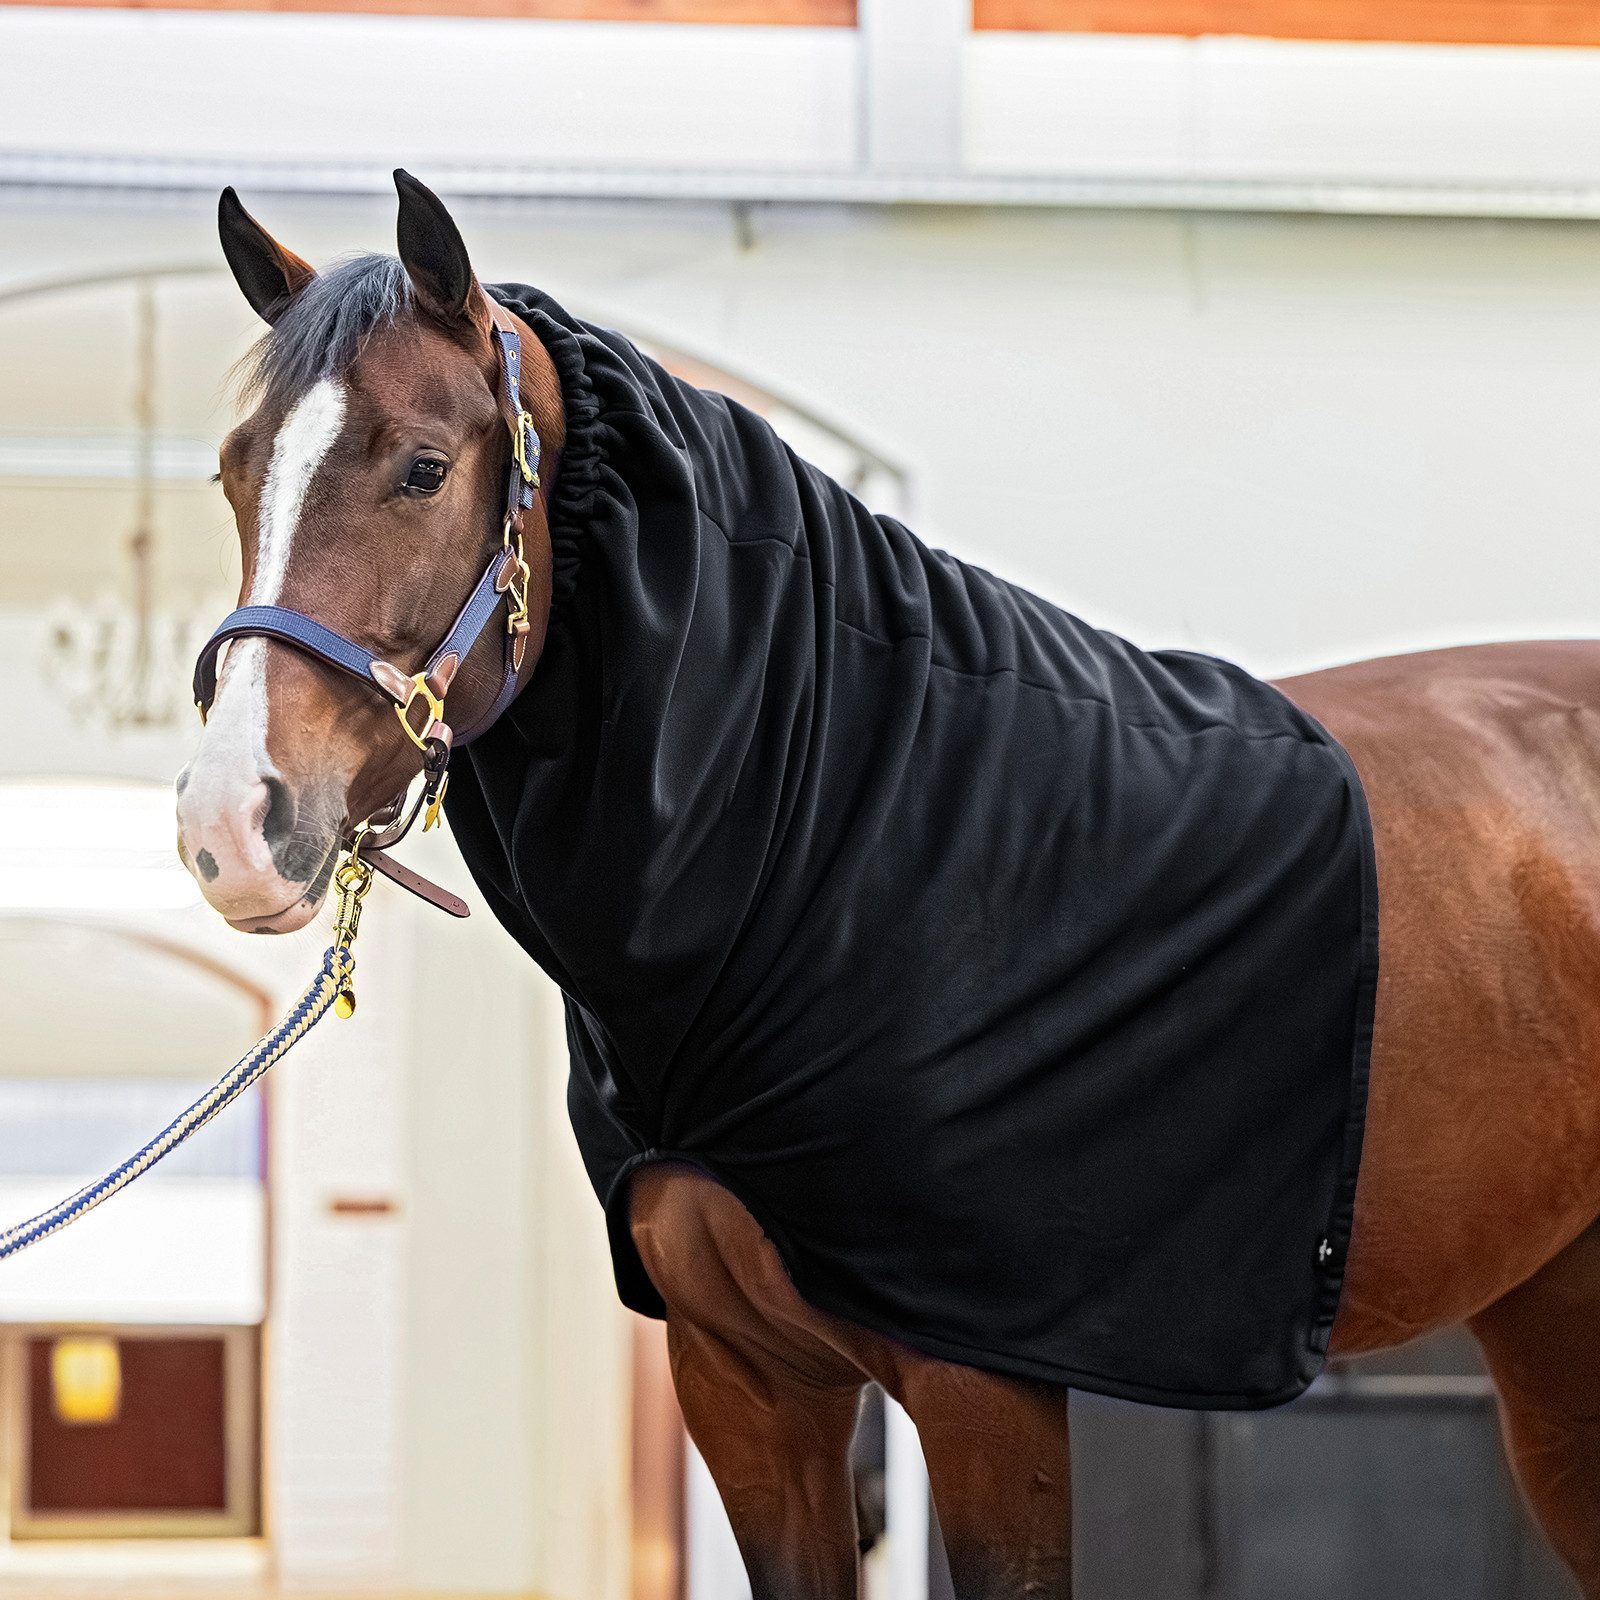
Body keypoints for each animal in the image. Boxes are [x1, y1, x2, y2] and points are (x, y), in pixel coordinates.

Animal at [176, 173, 1600, 1598]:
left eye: (421, 467)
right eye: (234, 473)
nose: (228, 822)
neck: (840, 824)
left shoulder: (986, 1395)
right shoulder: (748, 1389)